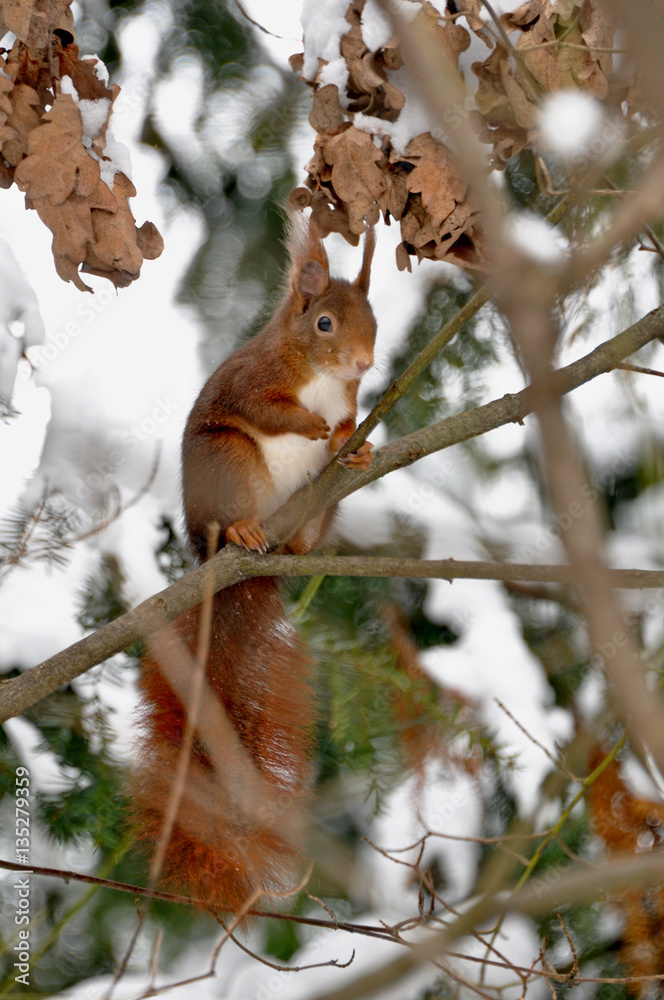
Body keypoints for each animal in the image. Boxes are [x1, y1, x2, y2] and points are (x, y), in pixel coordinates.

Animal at [130, 216, 377, 912]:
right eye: (324, 323)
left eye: (374, 319)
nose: (366, 363)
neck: (321, 376)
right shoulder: (252, 378)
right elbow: (267, 407)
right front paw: (313, 424)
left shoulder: (349, 399)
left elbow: (349, 421)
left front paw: (353, 440)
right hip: (229, 464)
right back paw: (243, 527)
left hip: (320, 506)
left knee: (309, 530)